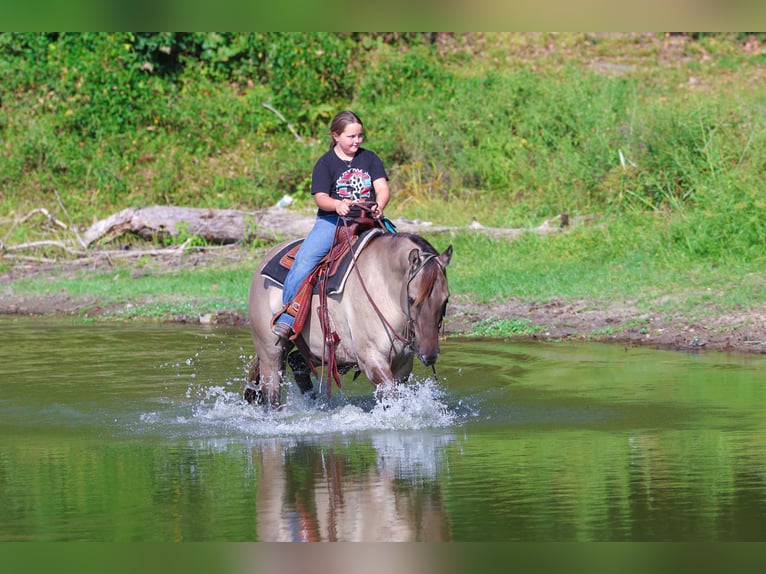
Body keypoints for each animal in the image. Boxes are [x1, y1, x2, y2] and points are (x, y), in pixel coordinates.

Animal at [245, 230, 452, 408]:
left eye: (446, 299)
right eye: (411, 299)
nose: (430, 355)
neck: (383, 286)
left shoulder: (403, 364)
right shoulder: (371, 358)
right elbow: (390, 395)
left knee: (298, 363)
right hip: (271, 352)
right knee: (271, 394)